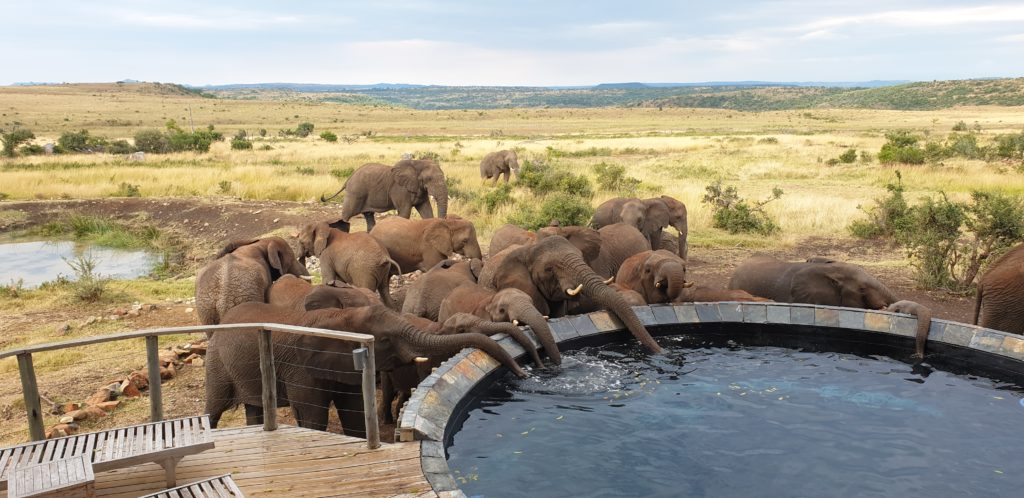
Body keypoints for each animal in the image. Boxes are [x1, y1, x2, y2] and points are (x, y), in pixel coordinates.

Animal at [208, 301, 527, 435]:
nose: (524, 373)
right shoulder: (299, 365)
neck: (339, 316)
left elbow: (354, 412)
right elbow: (313, 416)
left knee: (254, 408)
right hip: (216, 358)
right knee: (213, 408)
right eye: (384, 340)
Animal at [320, 159, 448, 232]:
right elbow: (405, 212)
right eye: (429, 179)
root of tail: (349, 178)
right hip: (355, 192)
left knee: (369, 217)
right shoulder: (400, 189)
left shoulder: (420, 189)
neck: (417, 164)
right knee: (347, 214)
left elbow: (426, 211)